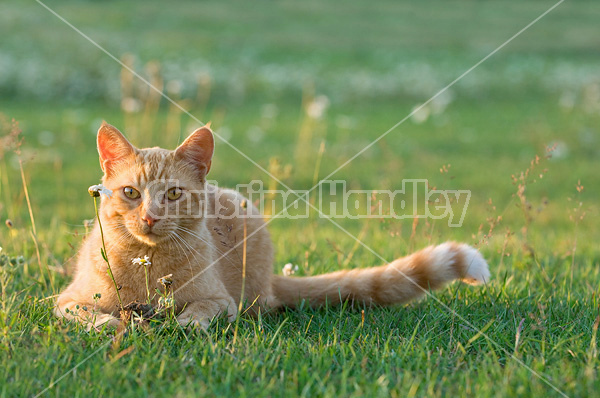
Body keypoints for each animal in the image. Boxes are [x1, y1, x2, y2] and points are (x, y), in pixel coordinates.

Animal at [54, 123, 490, 328]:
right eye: (130, 193)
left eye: (174, 194)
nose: (149, 217)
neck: (146, 263)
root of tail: (269, 280)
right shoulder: (64, 301)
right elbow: (89, 314)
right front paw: (112, 324)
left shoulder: (221, 301)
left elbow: (199, 310)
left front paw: (184, 324)